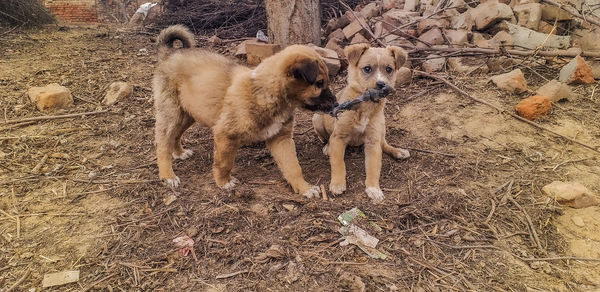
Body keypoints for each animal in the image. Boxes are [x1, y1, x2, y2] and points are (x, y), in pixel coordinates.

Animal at [152, 25, 338, 198]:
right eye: (319, 83)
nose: (335, 103)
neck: (267, 92)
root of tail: (169, 55)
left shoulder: (281, 138)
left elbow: (293, 167)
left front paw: (304, 188)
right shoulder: (225, 134)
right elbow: (224, 163)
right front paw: (223, 182)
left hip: (188, 113)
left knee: (175, 135)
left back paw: (179, 153)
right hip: (172, 113)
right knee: (162, 144)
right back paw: (168, 175)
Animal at [312, 43, 410, 202]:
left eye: (389, 69)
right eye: (367, 68)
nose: (381, 84)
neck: (366, 106)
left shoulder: (372, 142)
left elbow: (374, 168)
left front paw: (373, 188)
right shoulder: (338, 138)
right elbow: (338, 163)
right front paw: (337, 184)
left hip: (382, 126)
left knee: (384, 143)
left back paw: (398, 151)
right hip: (317, 119)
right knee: (325, 138)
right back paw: (327, 147)